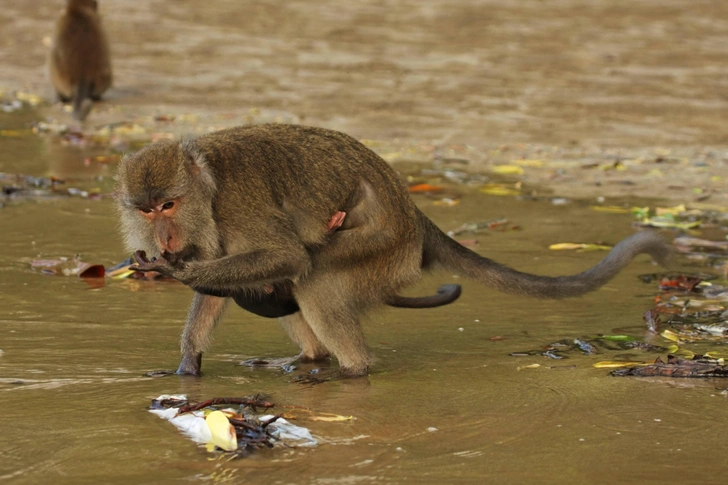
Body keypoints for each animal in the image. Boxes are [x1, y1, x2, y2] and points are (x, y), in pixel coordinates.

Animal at [118, 124, 672, 378]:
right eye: (146, 211)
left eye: (169, 204)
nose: (164, 239)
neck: (208, 187)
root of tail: (414, 216)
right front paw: (187, 367)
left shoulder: (238, 207)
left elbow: (286, 257)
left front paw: (182, 273)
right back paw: (312, 358)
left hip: (385, 251)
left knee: (315, 276)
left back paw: (351, 371)